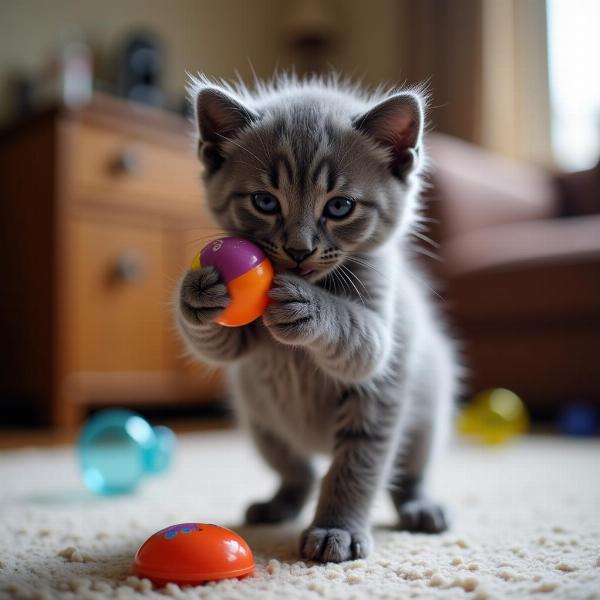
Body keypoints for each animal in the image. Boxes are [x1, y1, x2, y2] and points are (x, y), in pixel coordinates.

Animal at [176, 74, 458, 564]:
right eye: (265, 201)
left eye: (340, 206)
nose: (298, 250)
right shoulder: (242, 345)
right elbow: (219, 344)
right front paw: (201, 291)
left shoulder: (379, 355)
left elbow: (356, 466)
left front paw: (335, 530)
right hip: (261, 423)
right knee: (299, 472)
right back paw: (277, 504)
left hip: (423, 420)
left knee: (404, 472)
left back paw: (421, 507)